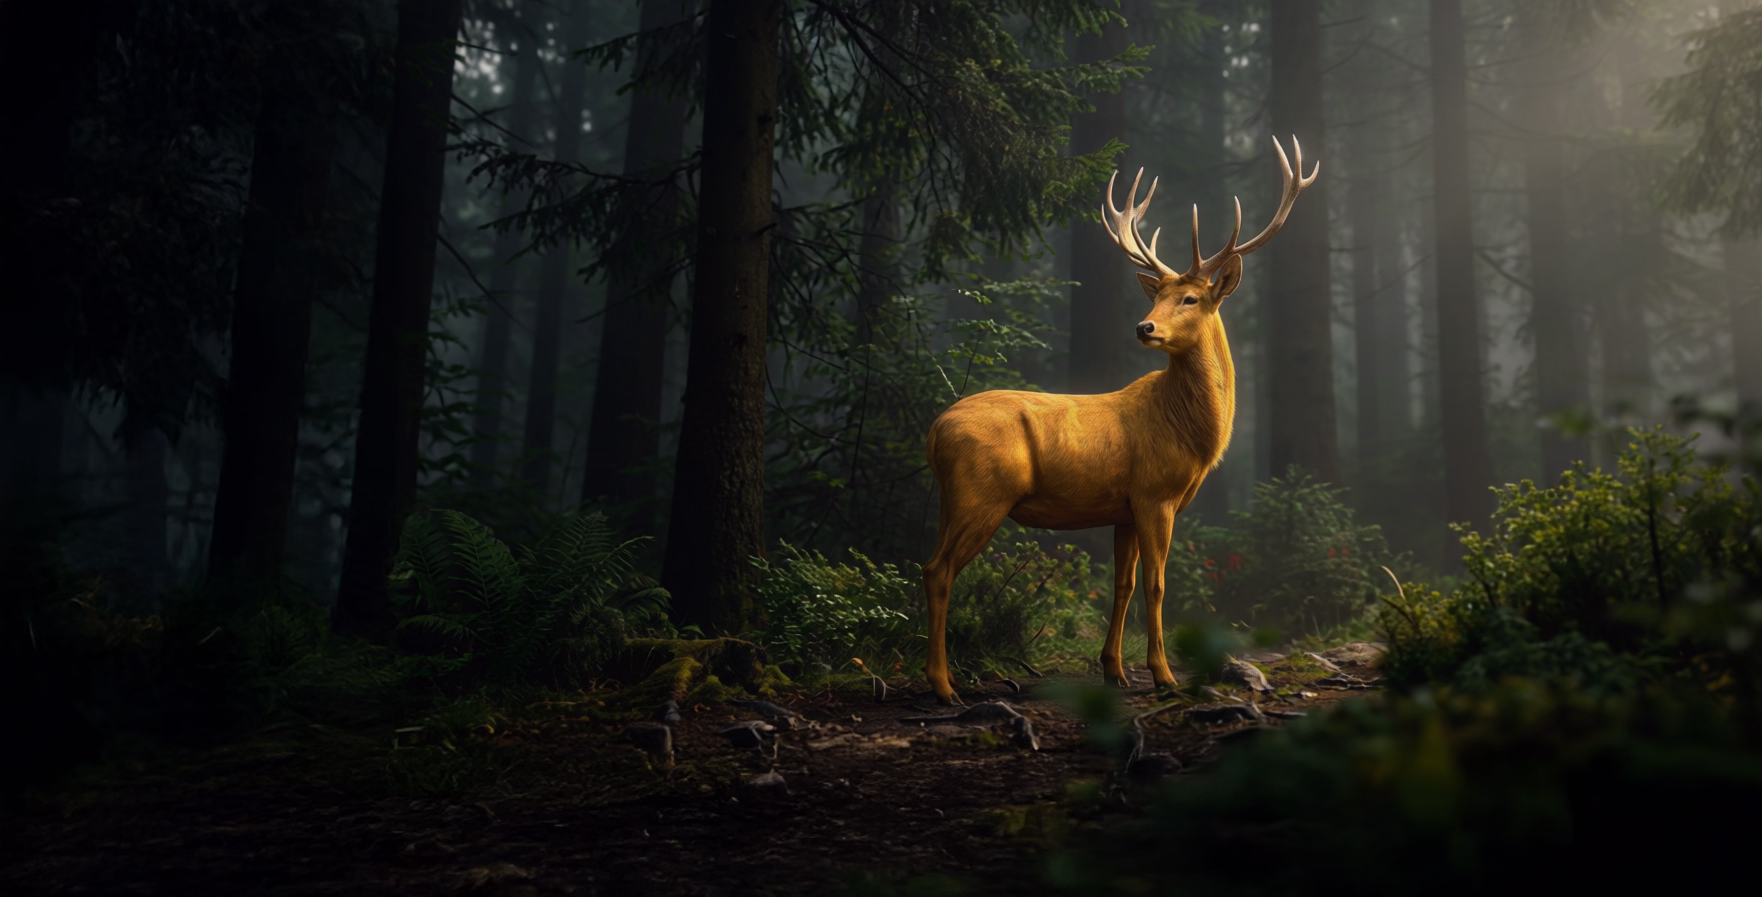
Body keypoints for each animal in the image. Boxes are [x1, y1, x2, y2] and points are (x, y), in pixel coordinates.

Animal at [921, 137, 1318, 704]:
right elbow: (1157, 583)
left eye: (1190, 297)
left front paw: (1114, 670)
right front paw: (1165, 675)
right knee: (938, 571)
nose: (1143, 326)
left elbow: (1123, 584)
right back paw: (943, 685)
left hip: (951, 498)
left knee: (932, 563)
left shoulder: (1124, 507)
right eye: (1157, 296)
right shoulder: (1155, 493)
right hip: (983, 492)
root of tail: (934, 430)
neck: (1188, 434)